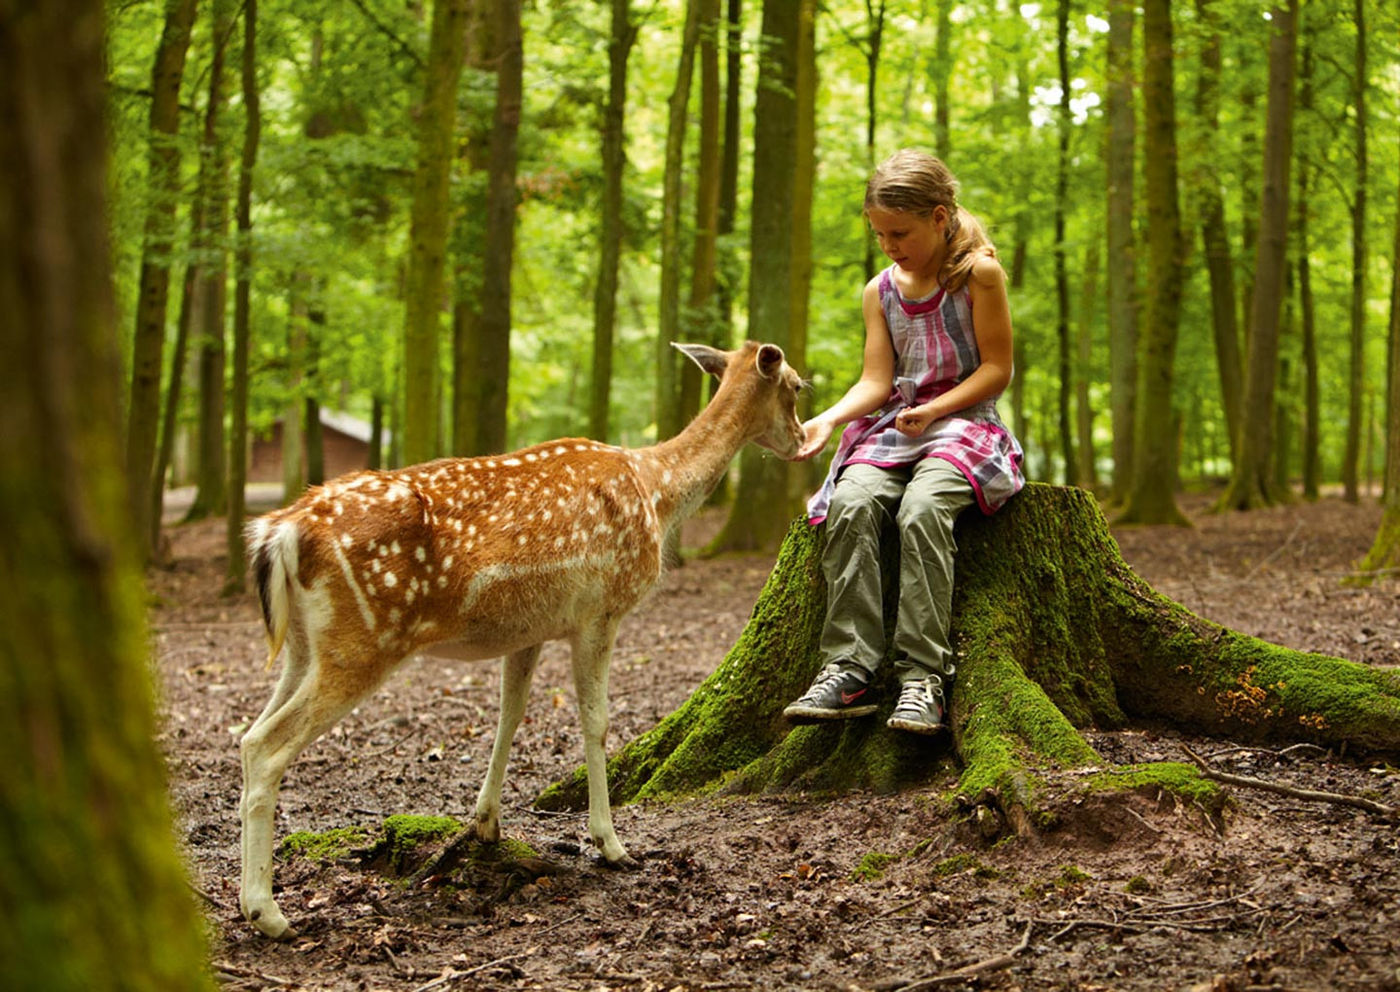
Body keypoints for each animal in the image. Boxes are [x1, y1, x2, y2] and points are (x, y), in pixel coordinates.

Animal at [235, 339, 806, 934]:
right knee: (266, 745)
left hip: (303, 647)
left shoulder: (529, 630)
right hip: (362, 641)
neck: (656, 492)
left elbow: (510, 715)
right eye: (797, 385)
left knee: (248, 736)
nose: (802, 440)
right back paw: (268, 913)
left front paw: (486, 824)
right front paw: (611, 844)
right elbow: (598, 722)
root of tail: (278, 532)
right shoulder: (600, 610)